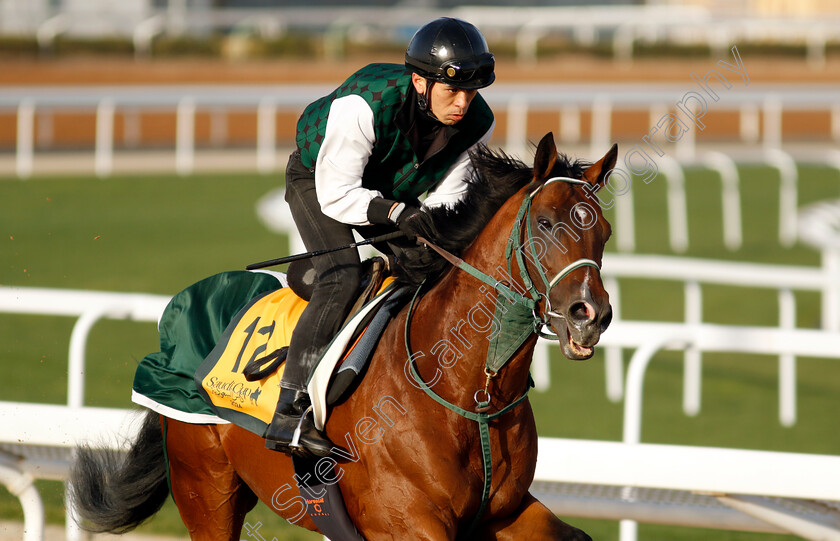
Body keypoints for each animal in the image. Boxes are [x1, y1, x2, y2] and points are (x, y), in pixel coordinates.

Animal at [70, 132, 616, 540]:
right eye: (543, 222)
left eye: (604, 232)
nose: (590, 314)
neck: (467, 394)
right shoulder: (407, 524)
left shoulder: (506, 512)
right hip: (206, 487)